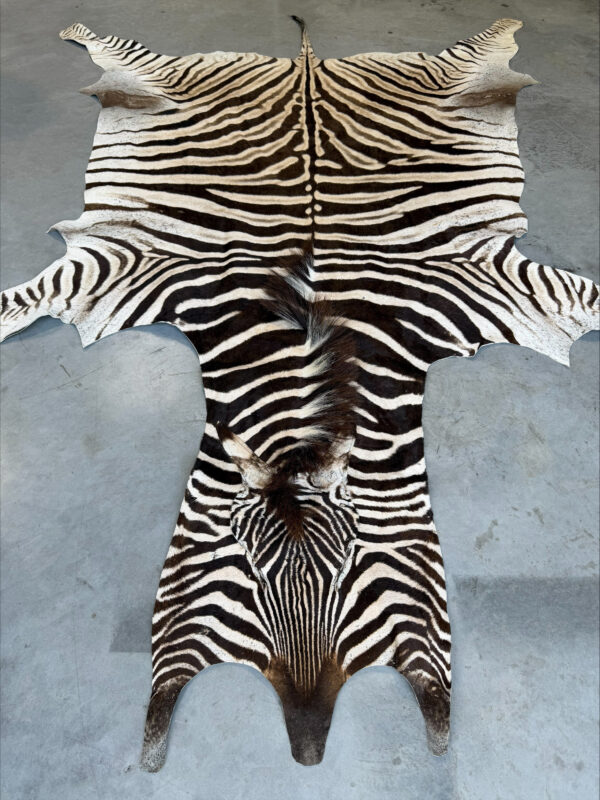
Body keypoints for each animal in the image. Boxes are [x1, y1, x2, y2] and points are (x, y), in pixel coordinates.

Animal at [0, 17, 598, 771]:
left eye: (350, 574)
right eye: (249, 579)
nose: (309, 753)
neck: (302, 367)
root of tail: (308, 63)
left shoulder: (494, 282)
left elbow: (582, 299)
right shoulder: (127, 269)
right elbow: (27, 298)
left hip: (437, 79)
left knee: (476, 56)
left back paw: (503, 27)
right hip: (171, 83)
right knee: (125, 61)